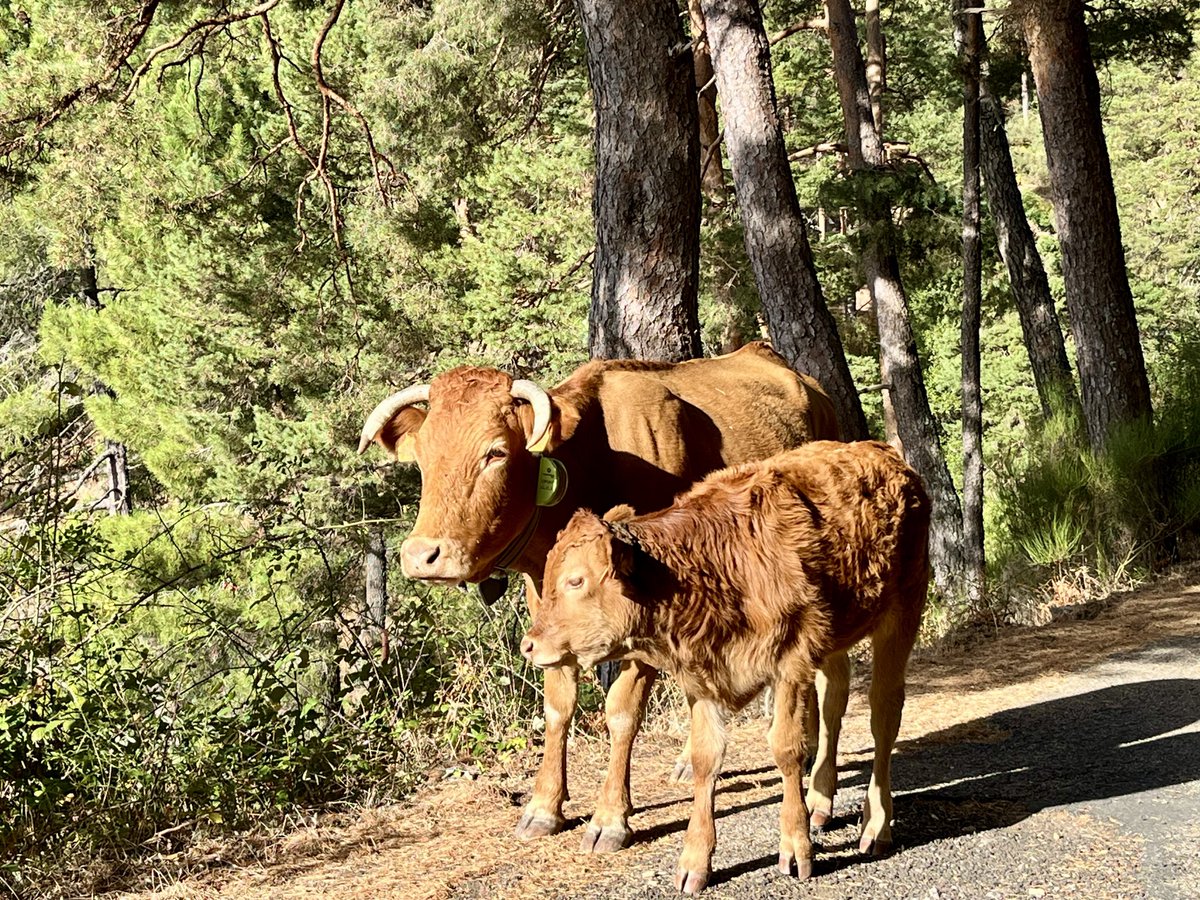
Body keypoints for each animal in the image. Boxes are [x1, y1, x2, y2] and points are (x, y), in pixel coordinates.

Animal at [358, 342, 842, 852]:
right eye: (423, 458)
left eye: (496, 452)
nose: (422, 555)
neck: (591, 465)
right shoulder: (549, 612)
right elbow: (558, 705)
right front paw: (544, 806)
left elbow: (621, 711)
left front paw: (611, 816)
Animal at [522, 441, 930, 894]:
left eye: (576, 580)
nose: (529, 645)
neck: (710, 565)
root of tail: (886, 455)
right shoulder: (703, 682)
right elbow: (706, 759)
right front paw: (695, 863)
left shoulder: (791, 664)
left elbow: (786, 749)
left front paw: (796, 848)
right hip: (835, 639)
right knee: (834, 702)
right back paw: (821, 803)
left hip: (901, 615)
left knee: (883, 715)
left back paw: (876, 827)